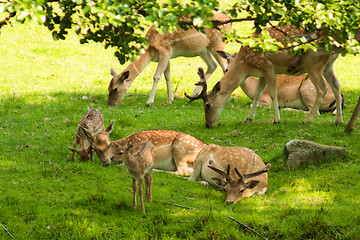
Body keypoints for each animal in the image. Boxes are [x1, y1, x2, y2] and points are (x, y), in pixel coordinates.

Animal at [186, 24, 344, 127]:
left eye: (207, 105)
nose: (208, 124)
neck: (247, 65)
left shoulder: (268, 67)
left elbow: (273, 94)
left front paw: (276, 120)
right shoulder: (261, 73)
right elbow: (256, 94)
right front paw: (248, 118)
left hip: (313, 66)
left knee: (322, 88)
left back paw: (307, 120)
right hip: (328, 65)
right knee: (336, 84)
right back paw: (338, 120)